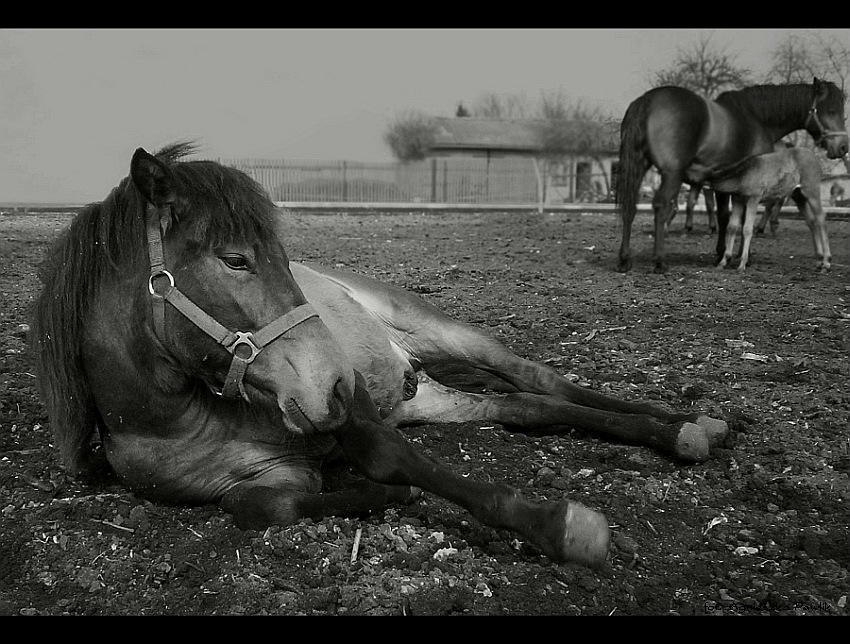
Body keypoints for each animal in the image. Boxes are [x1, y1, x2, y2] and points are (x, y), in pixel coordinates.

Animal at [29, 142, 724, 568]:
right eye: (235, 259)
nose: (336, 379)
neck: (181, 418)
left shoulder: (354, 416)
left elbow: (391, 458)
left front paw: (559, 527)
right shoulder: (274, 474)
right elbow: (258, 506)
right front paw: (381, 498)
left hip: (445, 335)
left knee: (540, 377)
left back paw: (691, 424)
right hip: (431, 400)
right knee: (530, 407)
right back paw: (683, 431)